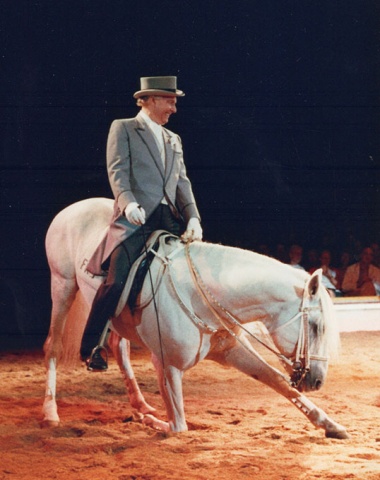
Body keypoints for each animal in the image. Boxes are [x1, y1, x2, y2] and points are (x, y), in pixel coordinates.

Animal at [42, 198, 348, 438]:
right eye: (317, 326)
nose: (318, 381)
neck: (201, 295)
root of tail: (74, 208)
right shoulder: (166, 364)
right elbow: (178, 426)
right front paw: (149, 421)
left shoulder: (231, 351)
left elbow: (277, 381)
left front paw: (330, 425)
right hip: (63, 286)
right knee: (53, 347)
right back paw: (50, 412)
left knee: (120, 348)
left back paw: (140, 403)